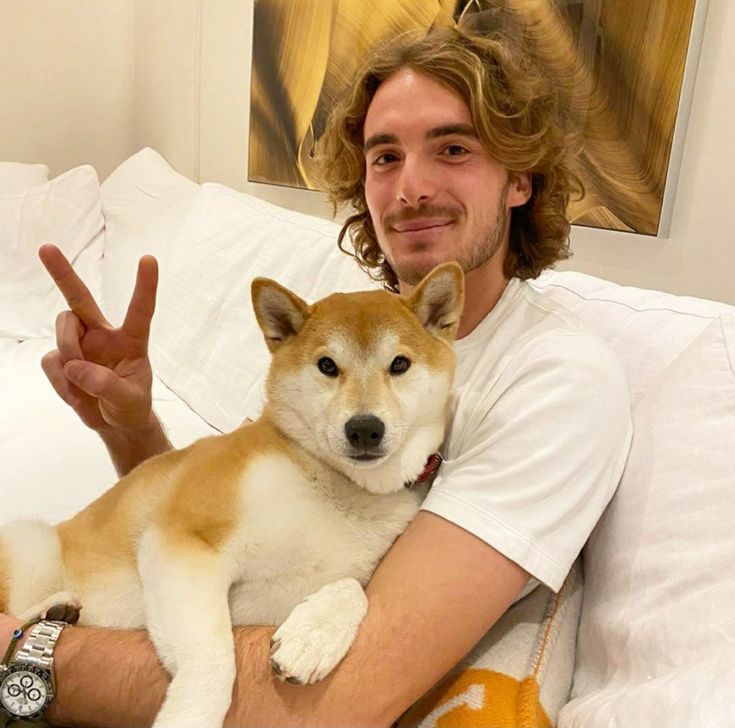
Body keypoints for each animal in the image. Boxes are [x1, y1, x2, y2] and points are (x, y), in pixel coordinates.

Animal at [0, 262, 466, 728]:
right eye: (327, 366)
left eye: (400, 363)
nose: (365, 428)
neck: (338, 483)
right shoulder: (181, 544)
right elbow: (213, 663)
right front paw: (191, 714)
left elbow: (356, 588)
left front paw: (315, 634)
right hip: (31, 542)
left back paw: (59, 612)